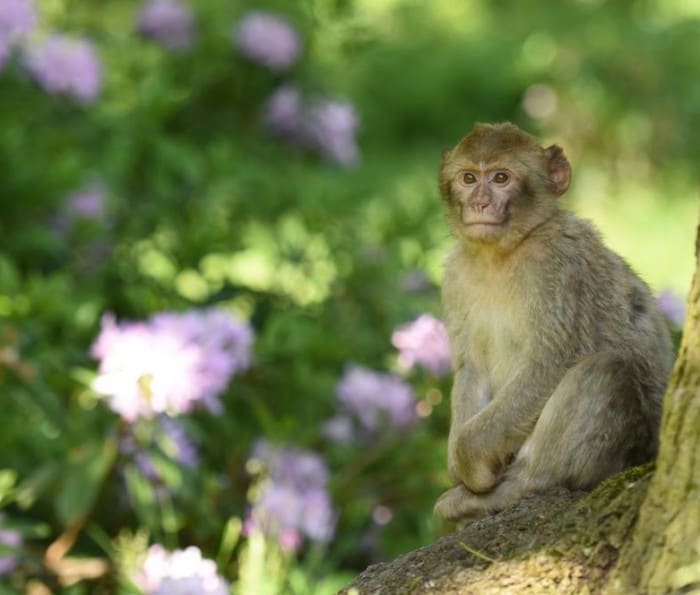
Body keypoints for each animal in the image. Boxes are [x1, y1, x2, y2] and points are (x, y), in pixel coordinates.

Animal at [433, 122, 673, 524]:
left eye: (501, 178)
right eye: (468, 178)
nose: (480, 204)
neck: (500, 255)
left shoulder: (559, 267)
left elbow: (551, 363)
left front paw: (471, 465)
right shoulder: (456, 277)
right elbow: (472, 368)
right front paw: (458, 464)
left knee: (605, 371)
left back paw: (520, 486)